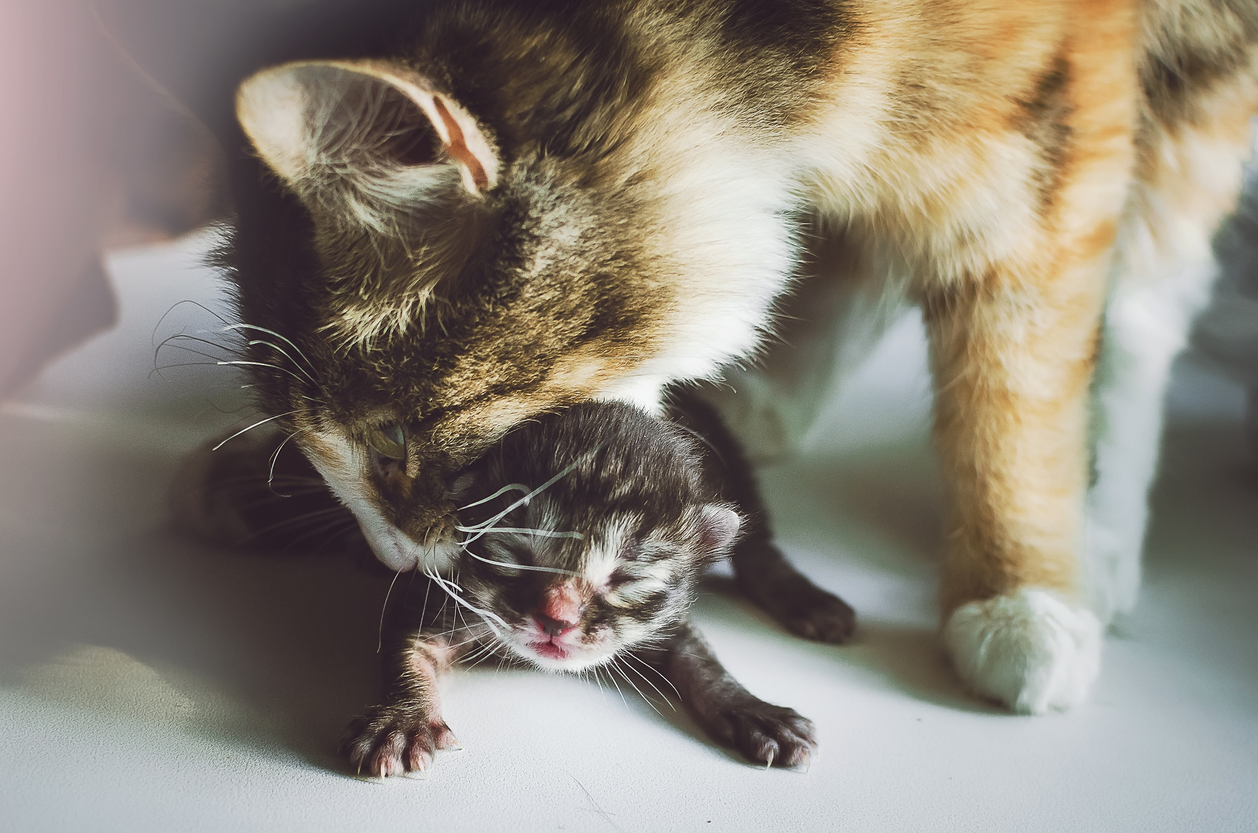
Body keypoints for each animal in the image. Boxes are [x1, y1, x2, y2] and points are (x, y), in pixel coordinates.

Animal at [223, 0, 1258, 719]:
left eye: (393, 445)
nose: (388, 557)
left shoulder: (1055, 92)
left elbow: (1023, 348)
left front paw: (1019, 589)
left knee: (1154, 284)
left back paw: (1099, 538)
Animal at [344, 400, 835, 775]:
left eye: (626, 578)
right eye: (517, 553)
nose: (555, 619)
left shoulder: (662, 619)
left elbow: (701, 658)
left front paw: (750, 707)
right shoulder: (439, 588)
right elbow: (409, 647)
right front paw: (403, 719)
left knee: (756, 539)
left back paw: (808, 600)